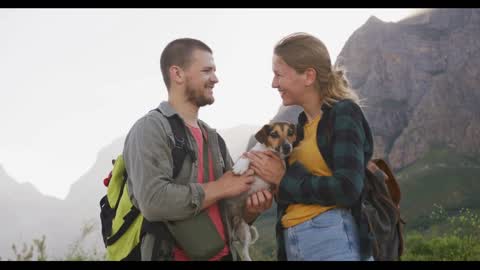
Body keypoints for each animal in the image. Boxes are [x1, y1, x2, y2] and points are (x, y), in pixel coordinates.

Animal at [225, 121, 296, 260]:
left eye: (290, 132)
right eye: (274, 134)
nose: (287, 147)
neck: (272, 152)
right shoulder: (252, 154)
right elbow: (247, 156)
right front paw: (240, 167)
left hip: (244, 230)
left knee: (245, 251)